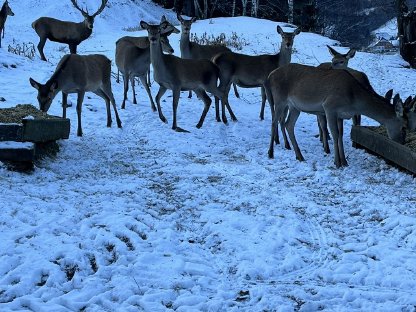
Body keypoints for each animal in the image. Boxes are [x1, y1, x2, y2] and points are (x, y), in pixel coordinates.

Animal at [264, 63, 408, 168]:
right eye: (404, 127)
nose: (402, 143)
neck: (353, 100)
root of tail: (270, 75)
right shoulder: (329, 107)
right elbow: (334, 134)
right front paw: (337, 162)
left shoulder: (340, 115)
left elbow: (340, 134)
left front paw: (344, 161)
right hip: (280, 99)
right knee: (274, 121)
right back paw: (271, 153)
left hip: (294, 107)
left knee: (288, 124)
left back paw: (299, 156)